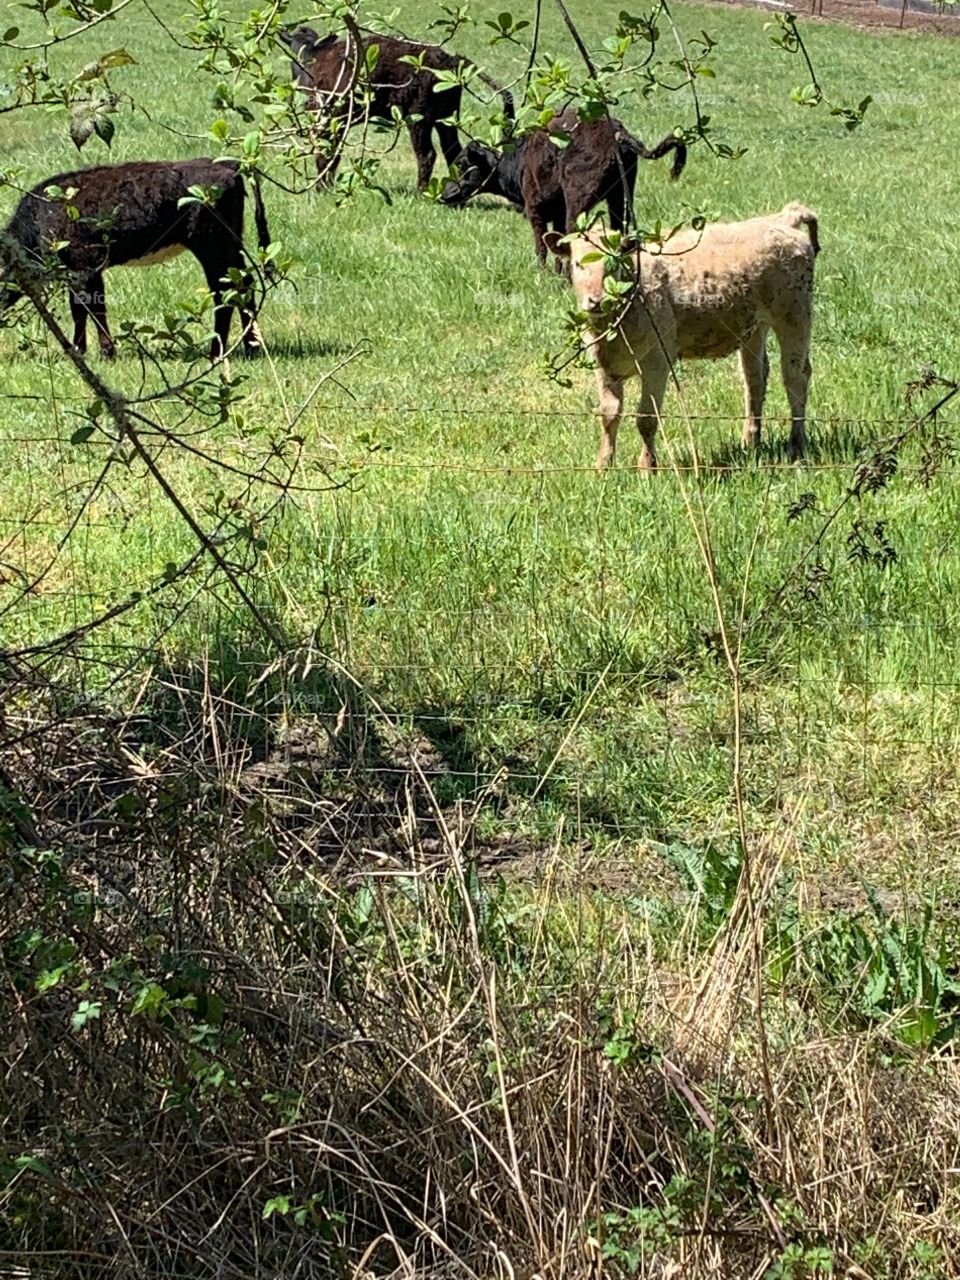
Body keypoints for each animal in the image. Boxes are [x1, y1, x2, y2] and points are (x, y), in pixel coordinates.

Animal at [0, 158, 272, 361]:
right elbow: (79, 309)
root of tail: (229, 164)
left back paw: (216, 353)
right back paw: (251, 347)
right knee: (244, 284)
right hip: (231, 243)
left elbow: (93, 308)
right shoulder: (76, 272)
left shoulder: (87, 267)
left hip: (211, 246)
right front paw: (80, 351)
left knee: (224, 291)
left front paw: (105, 353)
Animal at [279, 24, 515, 191]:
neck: (314, 59)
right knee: (452, 151)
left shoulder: (329, 119)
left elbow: (327, 152)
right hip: (446, 118)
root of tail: (450, 59)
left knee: (427, 154)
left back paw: (422, 192)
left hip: (418, 118)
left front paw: (322, 189)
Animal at [439, 110, 686, 265]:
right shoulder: (556, 212)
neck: (517, 159)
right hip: (620, 198)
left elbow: (541, 246)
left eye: (461, 164)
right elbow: (555, 243)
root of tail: (618, 135)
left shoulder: (535, 209)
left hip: (578, 203)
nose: (443, 195)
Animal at [544, 203, 820, 470]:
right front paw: (604, 465)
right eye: (577, 264)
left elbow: (646, 418)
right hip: (754, 327)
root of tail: (783, 219)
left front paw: (647, 467)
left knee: (795, 377)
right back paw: (750, 442)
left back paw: (796, 445)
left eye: (614, 264)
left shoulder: (657, 361)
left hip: (794, 317)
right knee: (754, 378)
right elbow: (609, 415)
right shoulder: (603, 366)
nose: (597, 300)